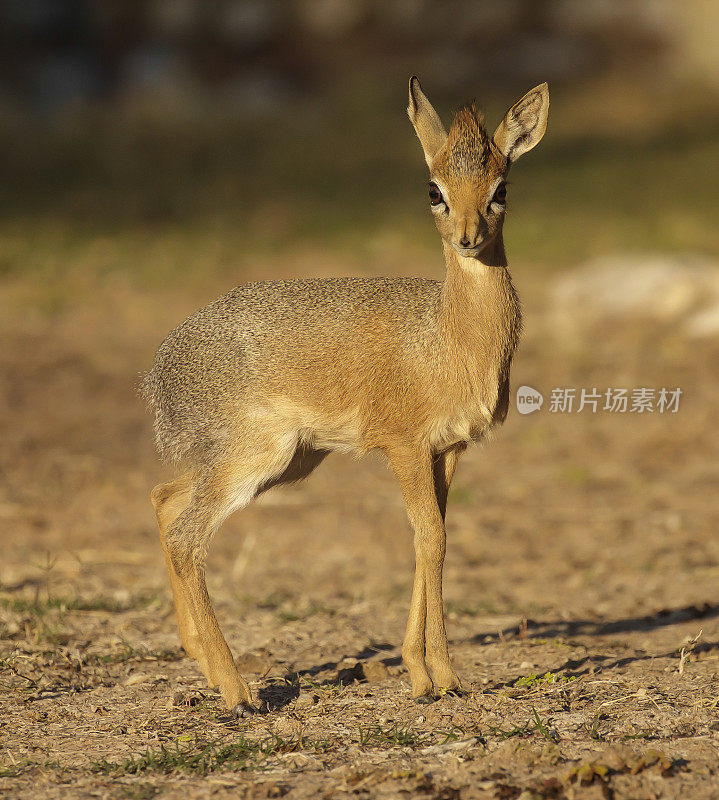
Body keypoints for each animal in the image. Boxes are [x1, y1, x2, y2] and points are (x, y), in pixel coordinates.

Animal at [145, 78, 552, 716]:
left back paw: (205, 666)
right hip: (253, 458)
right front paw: (443, 676)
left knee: (164, 500)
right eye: (433, 189)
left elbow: (431, 538)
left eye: (501, 188)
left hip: (282, 461)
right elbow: (431, 538)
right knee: (188, 536)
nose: (469, 239)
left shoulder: (448, 450)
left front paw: (421, 673)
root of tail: (164, 369)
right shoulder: (404, 447)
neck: (447, 336)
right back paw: (239, 693)